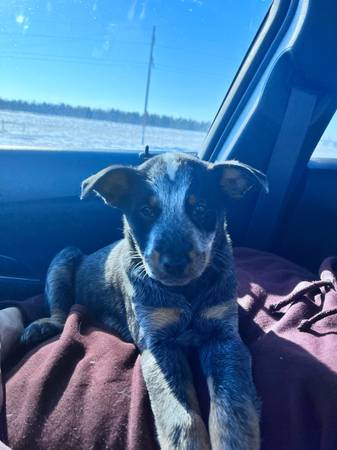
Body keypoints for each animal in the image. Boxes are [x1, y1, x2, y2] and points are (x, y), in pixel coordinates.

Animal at [21, 152, 268, 450]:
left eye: (201, 208)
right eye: (146, 211)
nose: (174, 263)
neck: (187, 292)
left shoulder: (224, 338)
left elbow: (232, 405)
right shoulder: (158, 345)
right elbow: (179, 414)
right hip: (65, 256)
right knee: (61, 312)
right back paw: (43, 325)